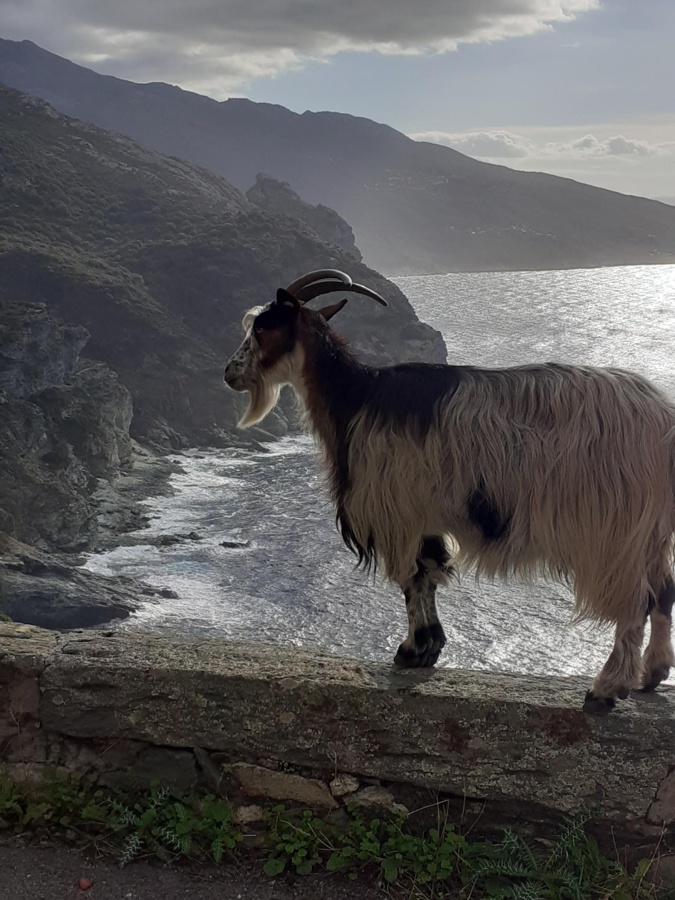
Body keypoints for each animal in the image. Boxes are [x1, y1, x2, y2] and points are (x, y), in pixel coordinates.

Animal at [223, 268, 675, 712]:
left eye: (263, 327)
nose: (229, 373)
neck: (355, 398)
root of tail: (664, 418)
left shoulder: (397, 511)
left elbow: (411, 578)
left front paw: (411, 649)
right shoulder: (423, 516)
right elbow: (429, 572)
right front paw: (428, 648)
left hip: (616, 528)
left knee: (636, 601)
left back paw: (605, 689)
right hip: (650, 529)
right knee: (664, 593)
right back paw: (650, 676)